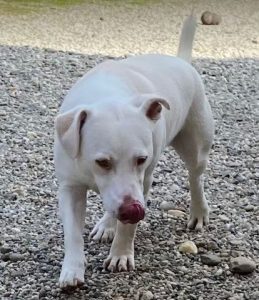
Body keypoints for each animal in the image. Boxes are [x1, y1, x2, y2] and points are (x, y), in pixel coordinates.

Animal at [53, 14, 214, 288]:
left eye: (141, 159)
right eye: (102, 162)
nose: (133, 209)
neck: (107, 95)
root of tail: (181, 61)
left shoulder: (143, 179)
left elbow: (128, 227)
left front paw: (120, 254)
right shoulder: (70, 187)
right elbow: (73, 233)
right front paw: (72, 271)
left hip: (196, 145)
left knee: (195, 178)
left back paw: (198, 211)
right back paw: (108, 224)